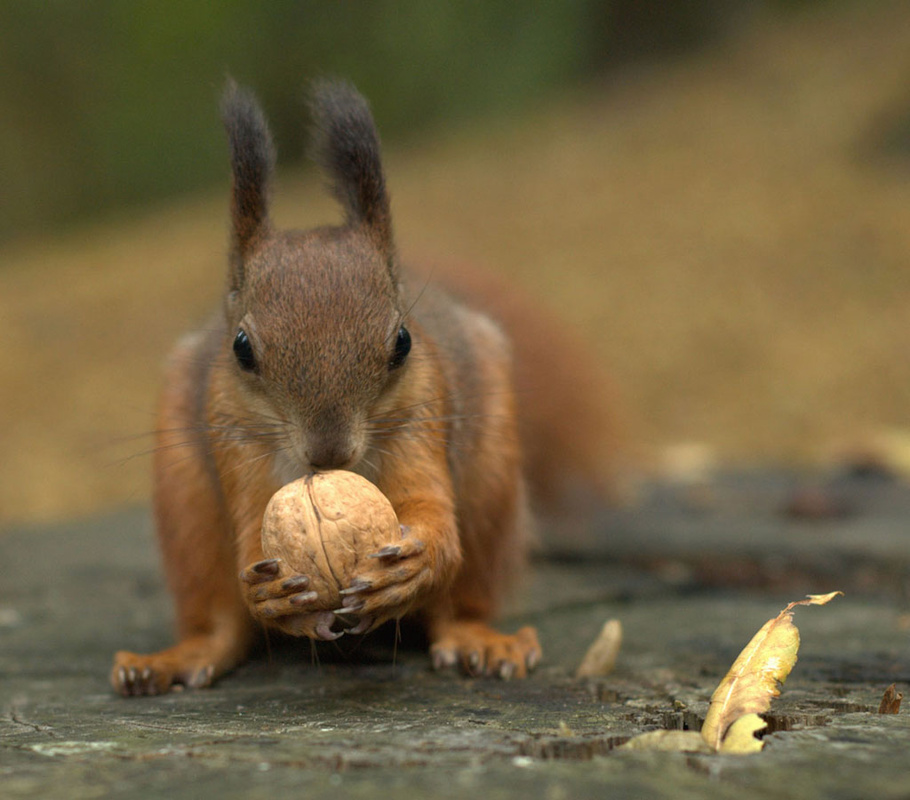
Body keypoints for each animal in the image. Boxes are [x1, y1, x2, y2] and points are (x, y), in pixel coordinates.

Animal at [105, 78, 620, 696]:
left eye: (402, 341)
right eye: (241, 348)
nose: (328, 452)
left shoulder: (422, 413)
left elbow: (432, 514)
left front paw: (413, 565)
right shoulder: (232, 432)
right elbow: (252, 526)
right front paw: (269, 589)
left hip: (492, 482)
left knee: (460, 599)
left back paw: (479, 640)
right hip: (184, 502)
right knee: (218, 615)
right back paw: (175, 659)